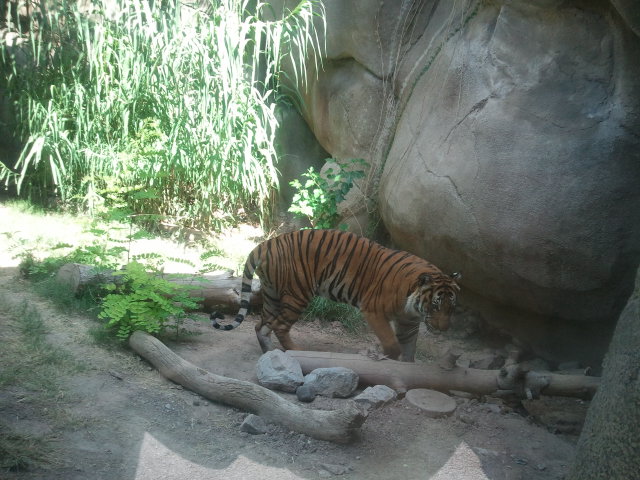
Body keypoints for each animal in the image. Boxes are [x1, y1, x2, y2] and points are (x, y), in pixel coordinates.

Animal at [211, 229, 461, 362]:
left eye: (452, 307)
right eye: (435, 305)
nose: (443, 329)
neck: (413, 305)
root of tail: (265, 244)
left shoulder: (409, 323)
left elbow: (409, 349)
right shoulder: (374, 311)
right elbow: (392, 344)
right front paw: (389, 360)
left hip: (272, 295)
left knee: (261, 326)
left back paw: (271, 354)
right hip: (298, 294)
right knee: (279, 326)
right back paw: (298, 353)